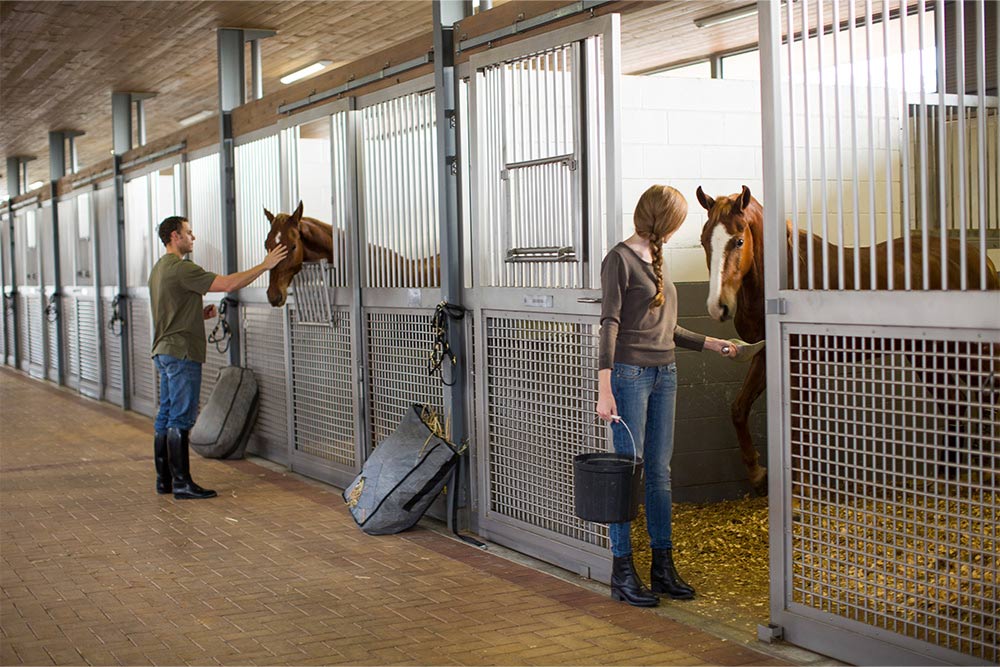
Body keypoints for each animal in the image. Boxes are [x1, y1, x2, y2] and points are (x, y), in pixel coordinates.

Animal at [700, 185, 996, 494]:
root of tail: (980, 259)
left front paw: (802, 488)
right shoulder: (765, 355)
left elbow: (798, 420)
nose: (719, 306)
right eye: (704, 241)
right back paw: (947, 477)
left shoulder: (802, 361)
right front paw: (758, 473)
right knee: (955, 404)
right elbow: (739, 408)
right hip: (929, 353)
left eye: (739, 240)